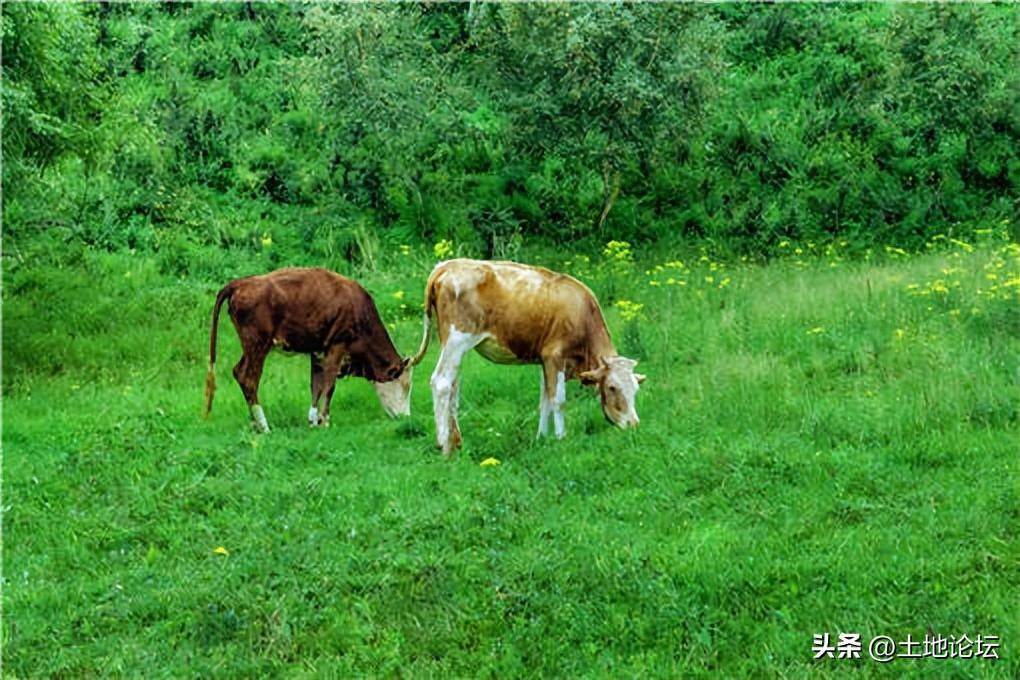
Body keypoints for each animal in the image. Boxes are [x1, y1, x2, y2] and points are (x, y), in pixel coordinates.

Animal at [200, 265, 412, 430]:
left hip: (251, 346)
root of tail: (240, 283)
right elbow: (329, 385)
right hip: (258, 344)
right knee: (248, 378)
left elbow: (316, 385)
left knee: (238, 372)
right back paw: (264, 426)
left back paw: (254, 423)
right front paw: (325, 421)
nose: (406, 417)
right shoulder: (337, 344)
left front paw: (313, 421)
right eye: (405, 386)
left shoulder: (317, 351)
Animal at [408, 257, 640, 454]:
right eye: (612, 387)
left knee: (453, 387)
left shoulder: (544, 361)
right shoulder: (555, 357)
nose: (634, 424)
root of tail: (446, 265)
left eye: (636, 389)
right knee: (441, 383)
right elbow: (558, 400)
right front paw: (561, 439)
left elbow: (545, 401)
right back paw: (444, 445)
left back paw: (456, 442)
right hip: (457, 340)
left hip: (452, 346)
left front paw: (541, 438)